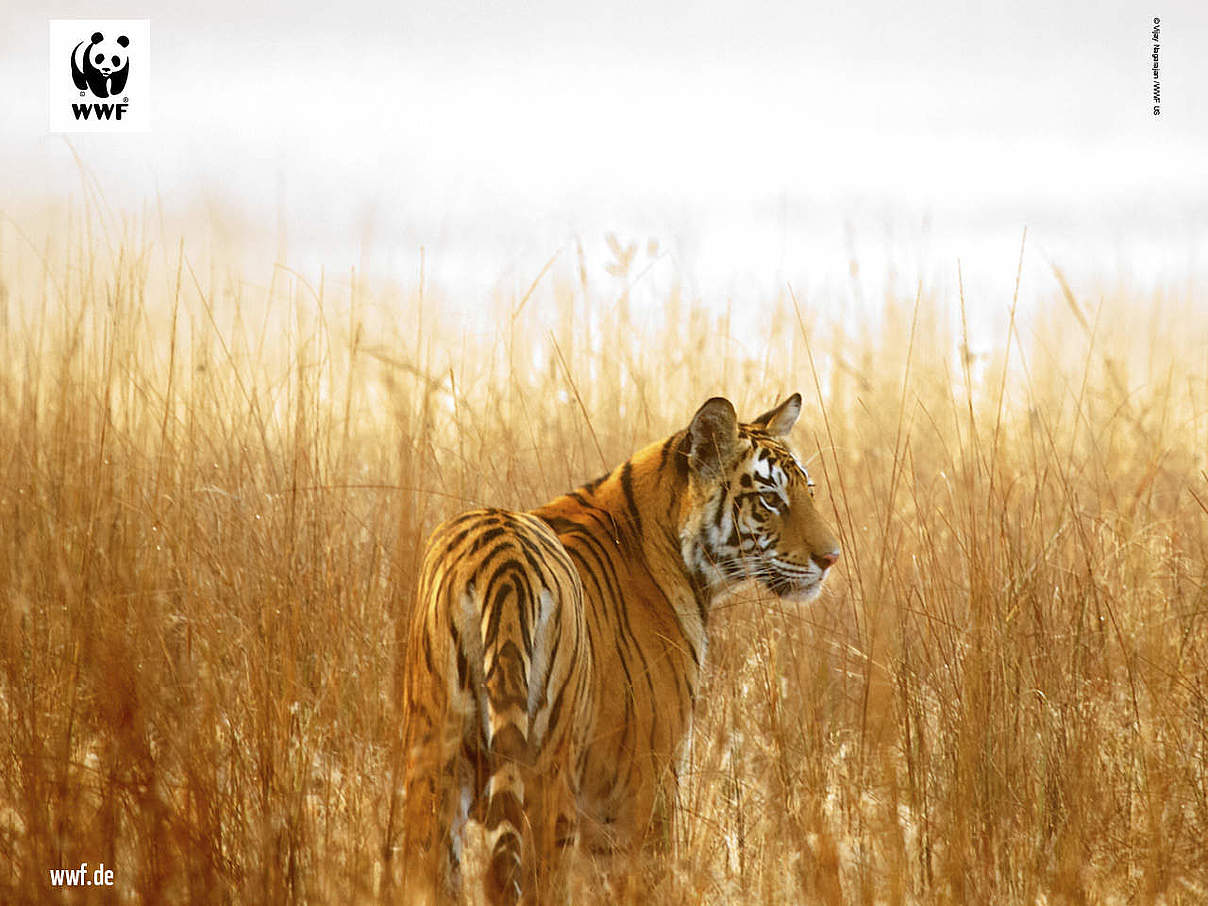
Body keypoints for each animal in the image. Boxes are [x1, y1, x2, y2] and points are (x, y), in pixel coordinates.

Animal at [396, 393, 840, 903]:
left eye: (808, 491)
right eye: (770, 499)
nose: (831, 558)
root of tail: (503, 561)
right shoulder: (643, 786)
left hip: (432, 765)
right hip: (549, 778)